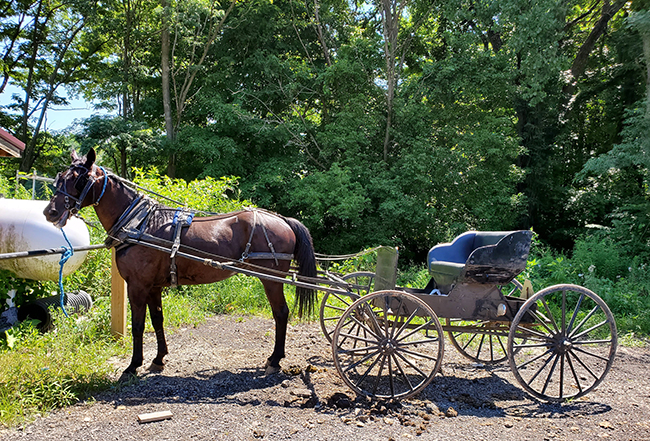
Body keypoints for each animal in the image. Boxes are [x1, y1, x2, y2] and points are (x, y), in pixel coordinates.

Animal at [43, 148, 317, 377]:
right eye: (59, 177)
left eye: (79, 180)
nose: (50, 212)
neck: (139, 224)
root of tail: (282, 219)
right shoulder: (153, 286)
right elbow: (157, 320)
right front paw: (158, 359)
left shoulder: (137, 285)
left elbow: (138, 325)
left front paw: (133, 366)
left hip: (271, 279)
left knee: (281, 313)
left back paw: (275, 359)